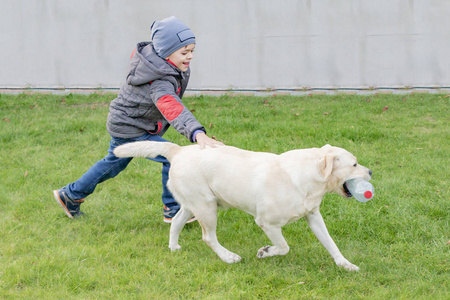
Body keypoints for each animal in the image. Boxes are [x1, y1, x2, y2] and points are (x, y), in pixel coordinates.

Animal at [114, 142, 370, 270]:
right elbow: (284, 247)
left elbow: (331, 243)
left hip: (193, 203)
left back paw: (174, 247)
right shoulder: (267, 223)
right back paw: (228, 257)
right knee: (208, 237)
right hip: (206, 206)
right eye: (354, 164)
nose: (370, 172)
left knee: (176, 221)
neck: (308, 177)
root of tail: (178, 150)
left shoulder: (314, 216)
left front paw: (345, 264)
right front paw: (265, 252)